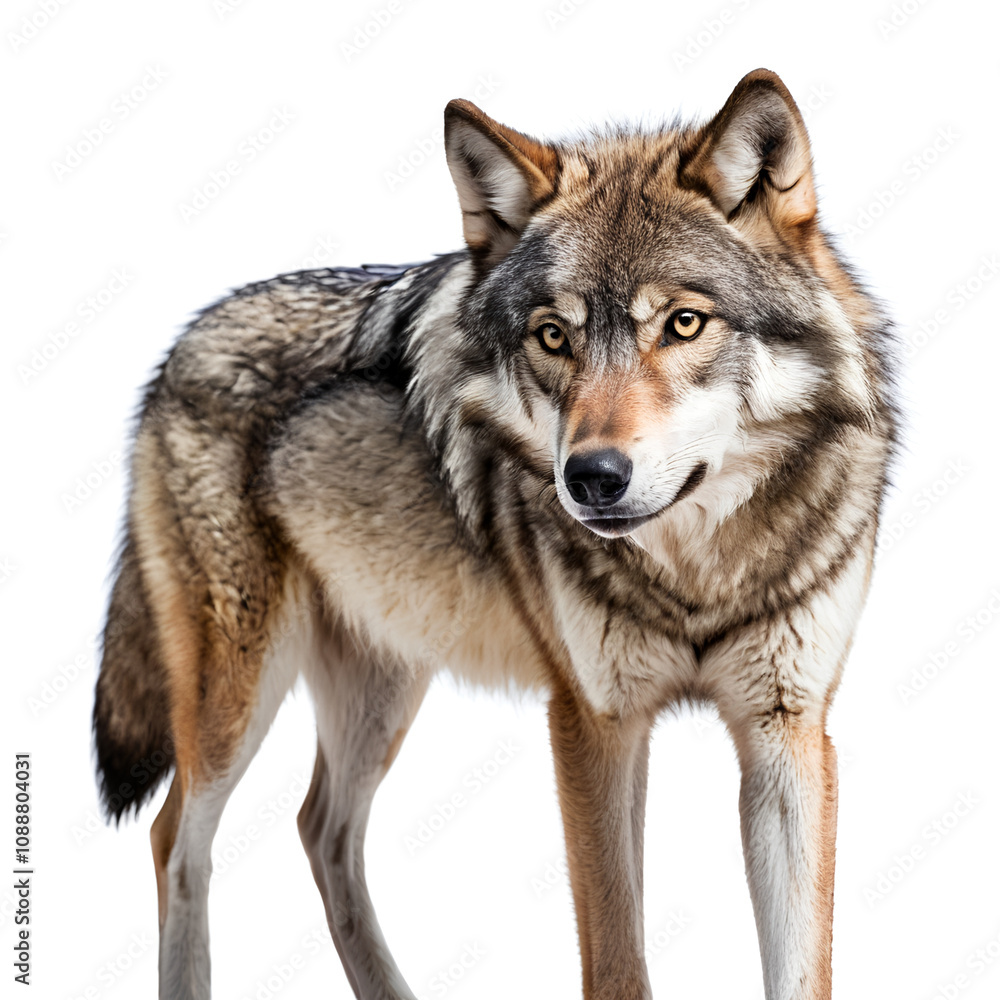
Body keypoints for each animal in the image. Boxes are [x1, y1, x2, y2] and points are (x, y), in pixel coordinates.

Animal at [92, 69, 897, 1000]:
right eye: (554, 336)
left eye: (684, 324)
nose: (590, 477)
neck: (696, 576)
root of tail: (180, 343)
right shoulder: (593, 722)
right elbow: (616, 963)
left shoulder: (786, 732)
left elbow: (800, 969)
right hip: (239, 693)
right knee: (176, 837)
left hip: (383, 683)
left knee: (319, 828)